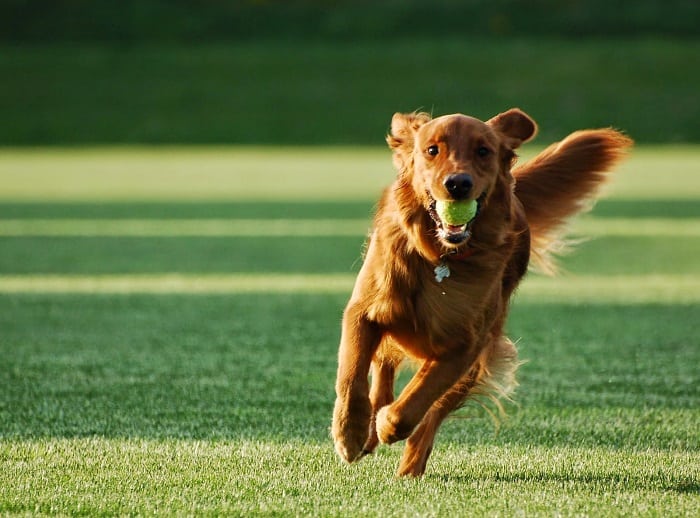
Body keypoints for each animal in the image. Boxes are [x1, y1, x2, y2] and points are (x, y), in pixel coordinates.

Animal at [330, 109, 632, 480]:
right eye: (432, 150)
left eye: (483, 151)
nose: (458, 183)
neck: (439, 256)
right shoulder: (364, 311)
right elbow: (352, 378)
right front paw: (350, 434)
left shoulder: (466, 345)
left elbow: (417, 400)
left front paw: (388, 424)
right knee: (383, 371)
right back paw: (370, 432)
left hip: (481, 355)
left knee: (432, 414)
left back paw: (409, 463)